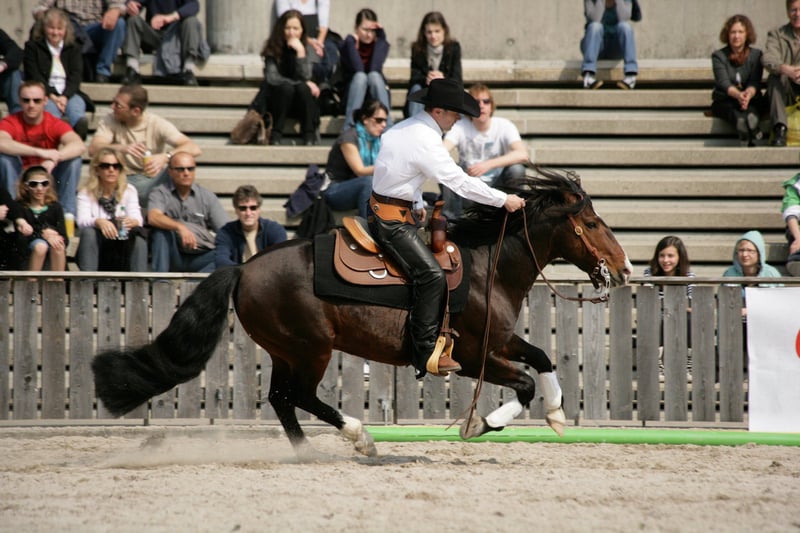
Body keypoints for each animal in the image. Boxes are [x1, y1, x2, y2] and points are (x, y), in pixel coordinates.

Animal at [92, 166, 632, 458]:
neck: (486, 265)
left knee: (282, 399)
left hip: (286, 350)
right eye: (590, 222)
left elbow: (541, 358)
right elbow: (521, 384)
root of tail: (244, 268)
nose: (625, 267)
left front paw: (558, 414)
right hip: (311, 348)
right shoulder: (476, 355)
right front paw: (479, 424)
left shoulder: (500, 341)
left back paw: (307, 453)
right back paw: (361, 438)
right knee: (300, 397)